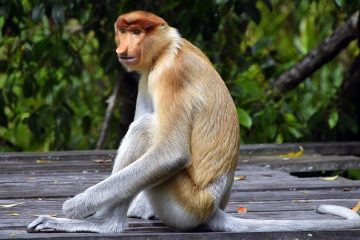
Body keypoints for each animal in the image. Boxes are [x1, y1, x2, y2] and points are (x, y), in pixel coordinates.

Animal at [27, 10, 360, 232]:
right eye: (122, 30)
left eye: (137, 33)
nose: (123, 48)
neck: (166, 49)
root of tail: (213, 208)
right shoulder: (147, 76)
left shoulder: (169, 75)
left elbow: (170, 154)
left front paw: (77, 206)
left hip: (186, 205)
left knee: (144, 131)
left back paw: (106, 224)